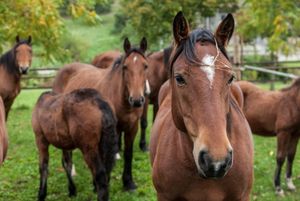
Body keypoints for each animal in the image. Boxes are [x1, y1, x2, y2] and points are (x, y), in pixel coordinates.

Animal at [53, 37, 149, 190]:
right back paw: (71, 172)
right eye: (125, 67)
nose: (136, 100)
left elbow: (128, 154)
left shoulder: (132, 127)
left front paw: (128, 183)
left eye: (145, 66)